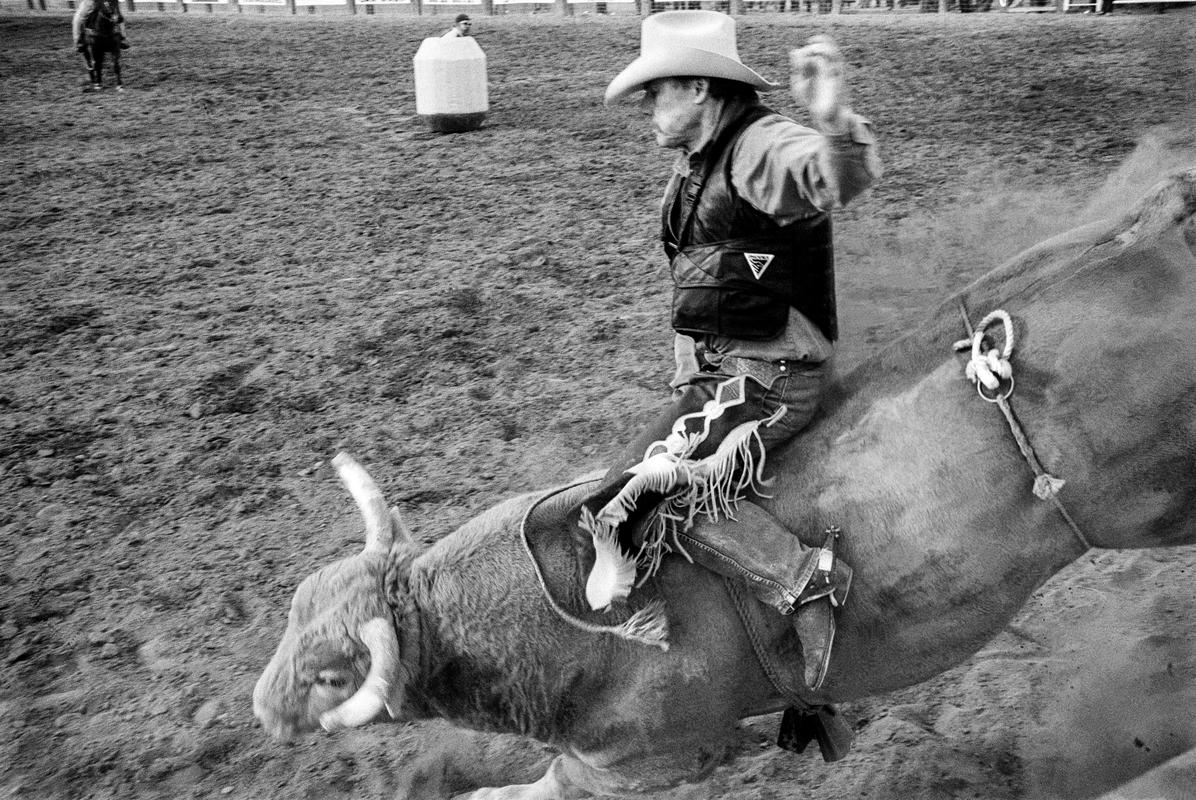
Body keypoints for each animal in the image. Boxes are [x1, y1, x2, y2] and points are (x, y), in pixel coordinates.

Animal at [252, 169, 1196, 798]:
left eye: (332, 677)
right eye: (295, 612)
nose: (263, 708)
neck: (550, 615)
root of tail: (1158, 221)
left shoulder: (636, 765)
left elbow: (525, 790)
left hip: (1155, 501)